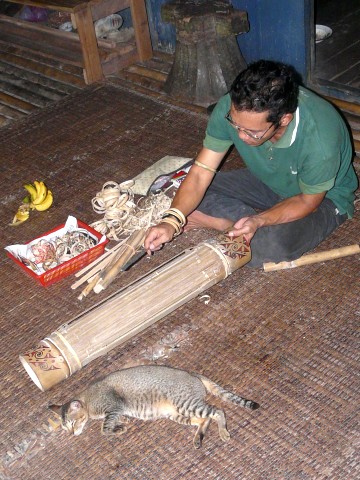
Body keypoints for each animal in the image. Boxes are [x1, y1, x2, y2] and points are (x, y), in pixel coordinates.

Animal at [49, 366, 260, 448]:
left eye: (73, 424)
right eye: (65, 427)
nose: (72, 433)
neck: (87, 399)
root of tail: (192, 374)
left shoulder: (113, 407)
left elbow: (104, 428)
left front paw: (118, 428)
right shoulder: (117, 411)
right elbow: (115, 420)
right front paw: (122, 423)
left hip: (185, 404)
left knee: (217, 411)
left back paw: (223, 432)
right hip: (177, 413)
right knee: (205, 419)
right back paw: (198, 439)